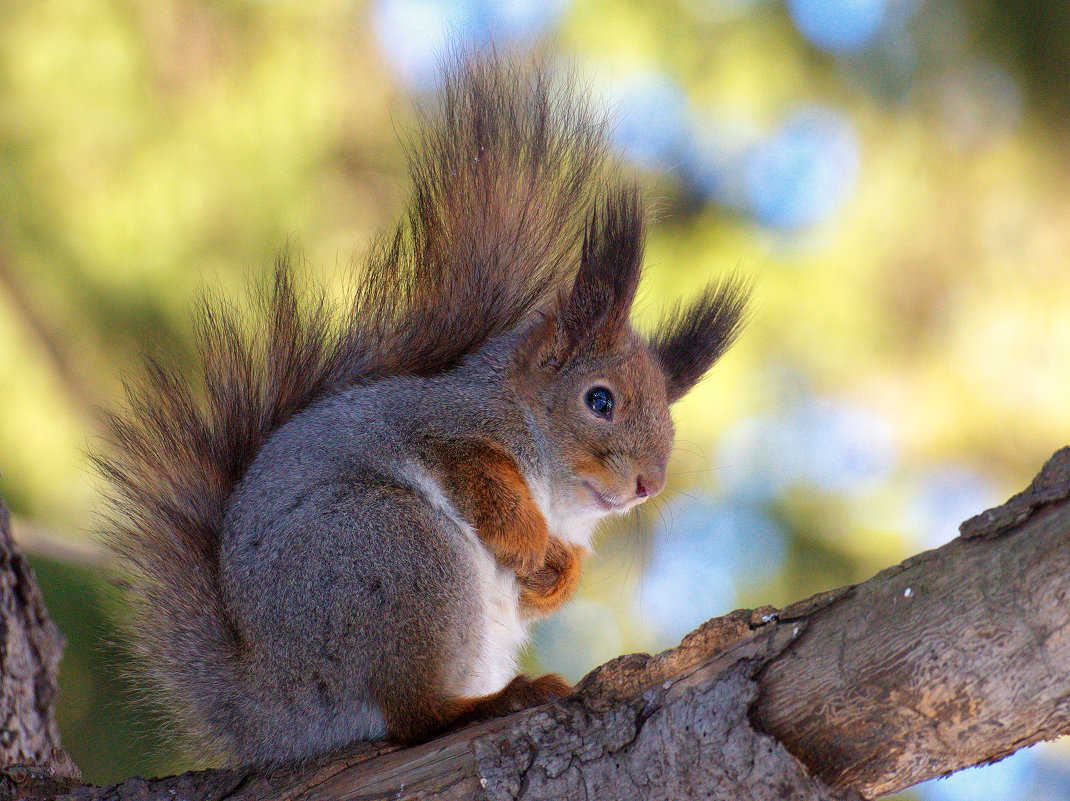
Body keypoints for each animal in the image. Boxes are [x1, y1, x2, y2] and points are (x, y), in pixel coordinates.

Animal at [100, 53, 753, 765]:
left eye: (669, 422)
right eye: (599, 400)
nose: (647, 485)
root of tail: (277, 710)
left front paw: (558, 576)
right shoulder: (442, 427)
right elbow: (479, 479)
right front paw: (528, 539)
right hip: (397, 555)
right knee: (414, 717)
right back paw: (497, 701)